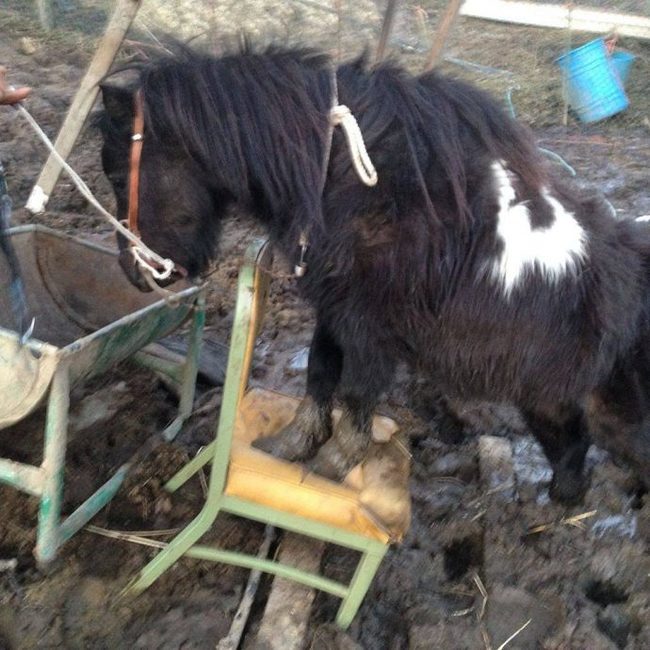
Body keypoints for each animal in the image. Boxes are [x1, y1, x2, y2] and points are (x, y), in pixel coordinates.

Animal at [98, 44, 648, 502]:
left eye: (118, 174)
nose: (132, 271)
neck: (359, 186)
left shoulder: (370, 329)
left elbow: (358, 392)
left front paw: (333, 463)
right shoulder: (334, 310)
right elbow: (320, 373)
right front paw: (292, 445)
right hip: (548, 401)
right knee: (572, 445)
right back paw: (563, 499)